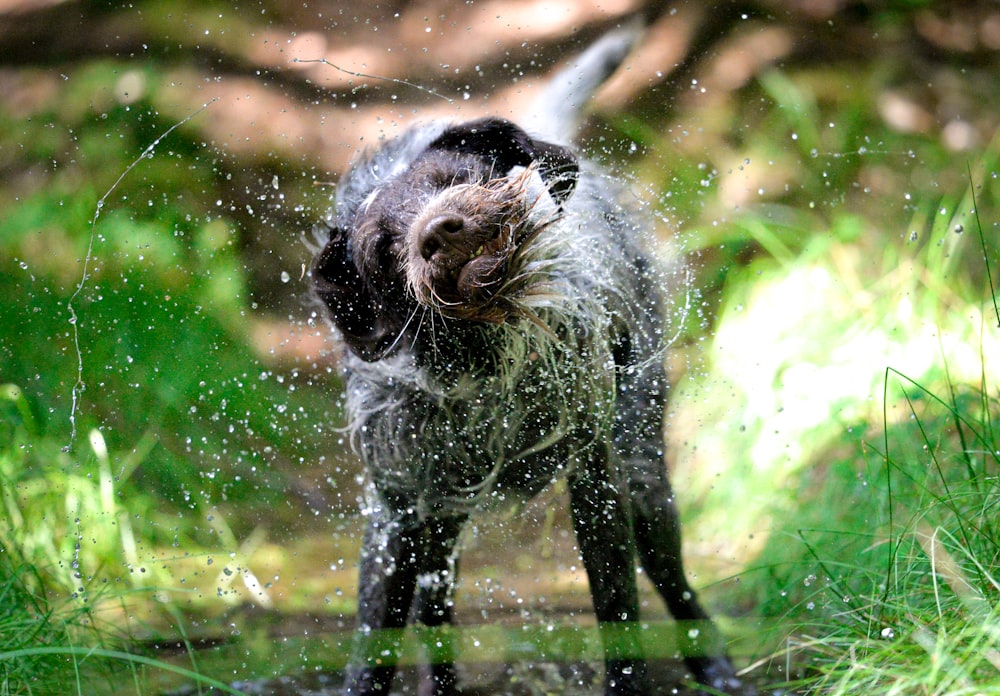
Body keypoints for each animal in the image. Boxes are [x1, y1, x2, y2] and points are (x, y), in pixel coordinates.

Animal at [310, 23, 744, 696]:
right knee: (435, 608)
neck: (485, 370)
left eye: (452, 178)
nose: (439, 231)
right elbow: (375, 649)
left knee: (670, 573)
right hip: (441, 525)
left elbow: (618, 611)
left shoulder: (597, 482)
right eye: (382, 248)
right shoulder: (397, 516)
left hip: (643, 469)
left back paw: (711, 659)